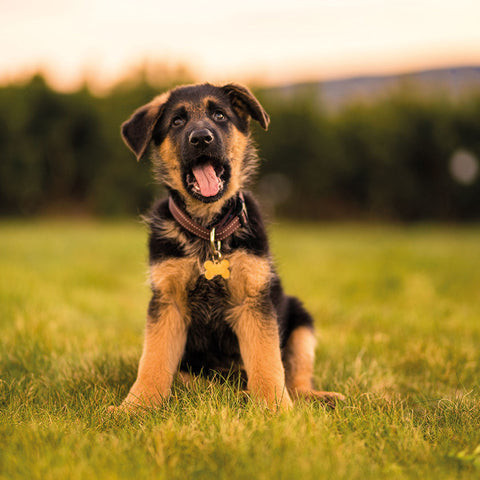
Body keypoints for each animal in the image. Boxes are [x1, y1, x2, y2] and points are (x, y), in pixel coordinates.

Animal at [114, 84, 344, 410]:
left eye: (220, 115)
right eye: (177, 122)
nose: (201, 138)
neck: (208, 228)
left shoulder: (253, 302)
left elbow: (267, 361)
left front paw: (276, 409)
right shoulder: (168, 303)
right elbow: (153, 361)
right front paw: (135, 408)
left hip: (301, 322)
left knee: (296, 380)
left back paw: (316, 397)